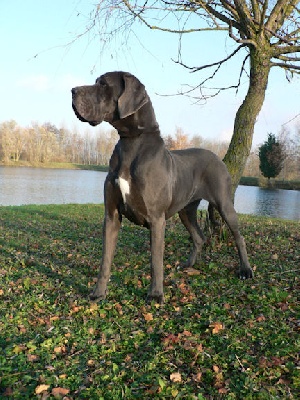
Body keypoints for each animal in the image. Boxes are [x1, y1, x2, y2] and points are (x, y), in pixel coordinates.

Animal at [71, 72, 252, 304]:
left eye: (103, 84)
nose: (73, 91)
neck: (131, 142)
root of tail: (217, 158)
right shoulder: (111, 215)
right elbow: (105, 260)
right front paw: (98, 293)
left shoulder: (157, 218)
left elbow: (155, 261)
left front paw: (156, 294)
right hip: (186, 210)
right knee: (199, 237)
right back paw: (188, 264)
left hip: (224, 204)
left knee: (239, 237)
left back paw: (245, 270)